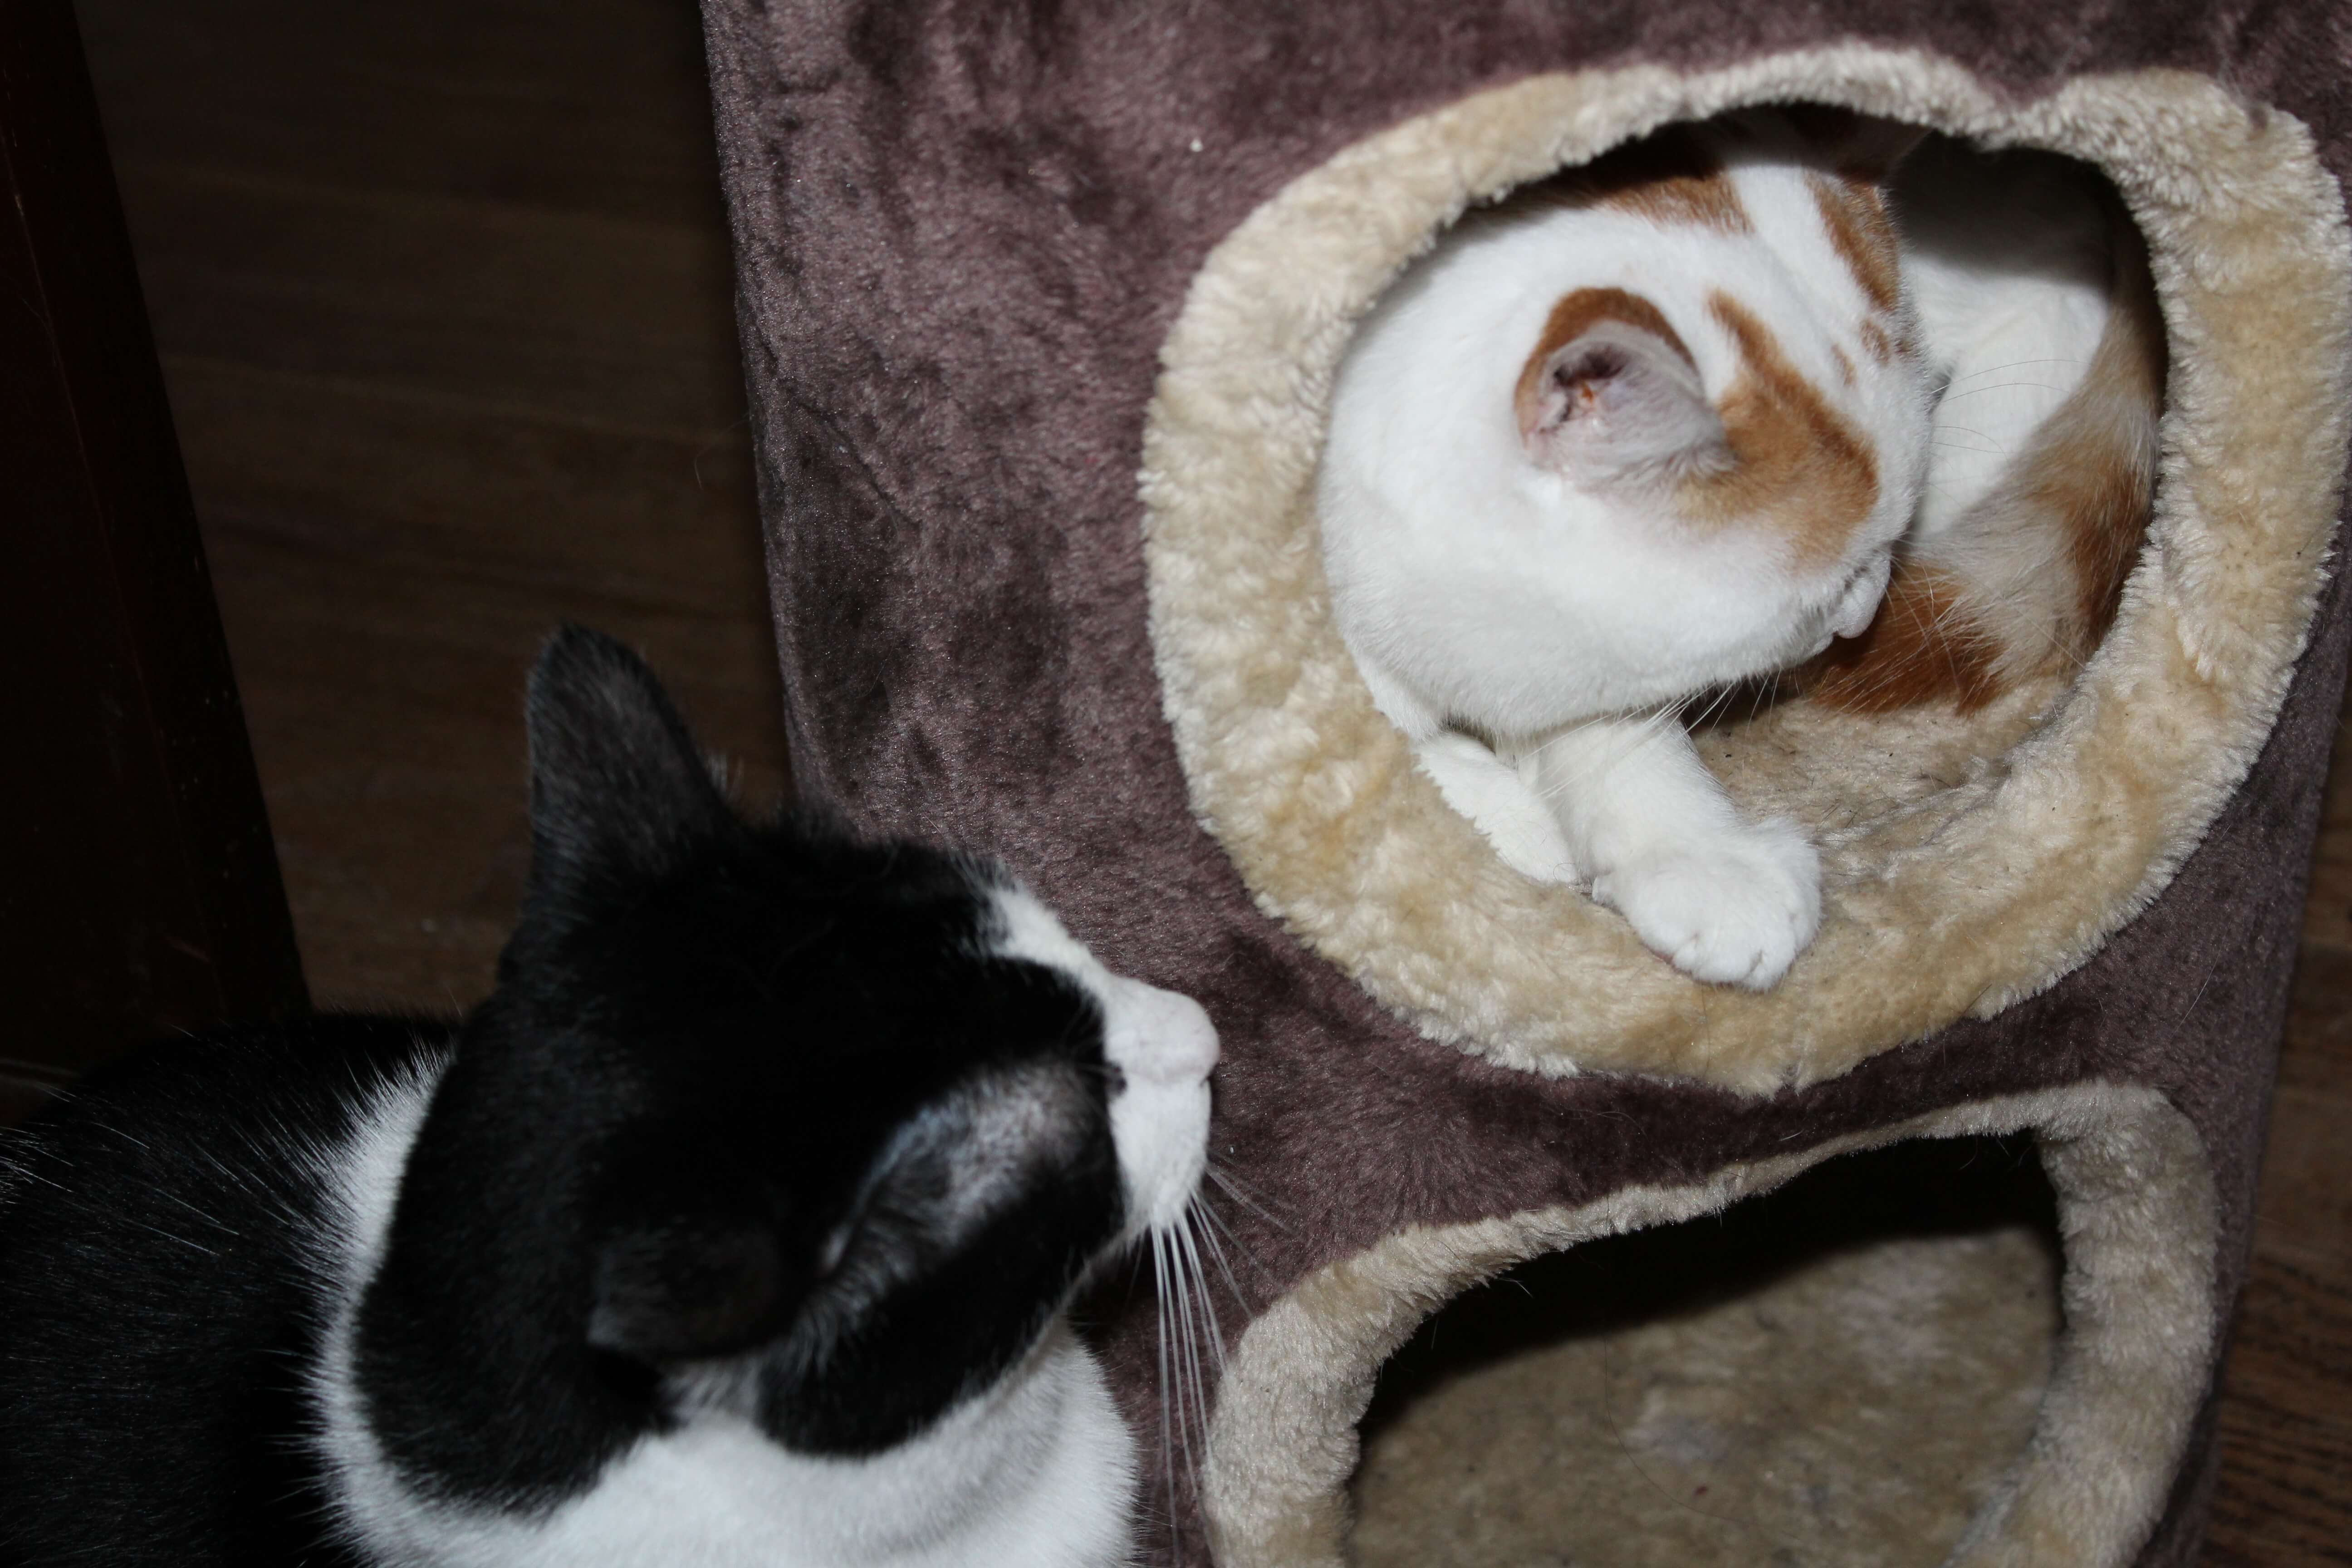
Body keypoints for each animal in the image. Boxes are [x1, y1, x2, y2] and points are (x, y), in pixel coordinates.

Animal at [1317, 113, 2154, 992]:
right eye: (1825, 590)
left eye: (1886, 543)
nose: (1862, 616)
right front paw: (1501, 814)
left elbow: (1608, 727)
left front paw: (1699, 855)